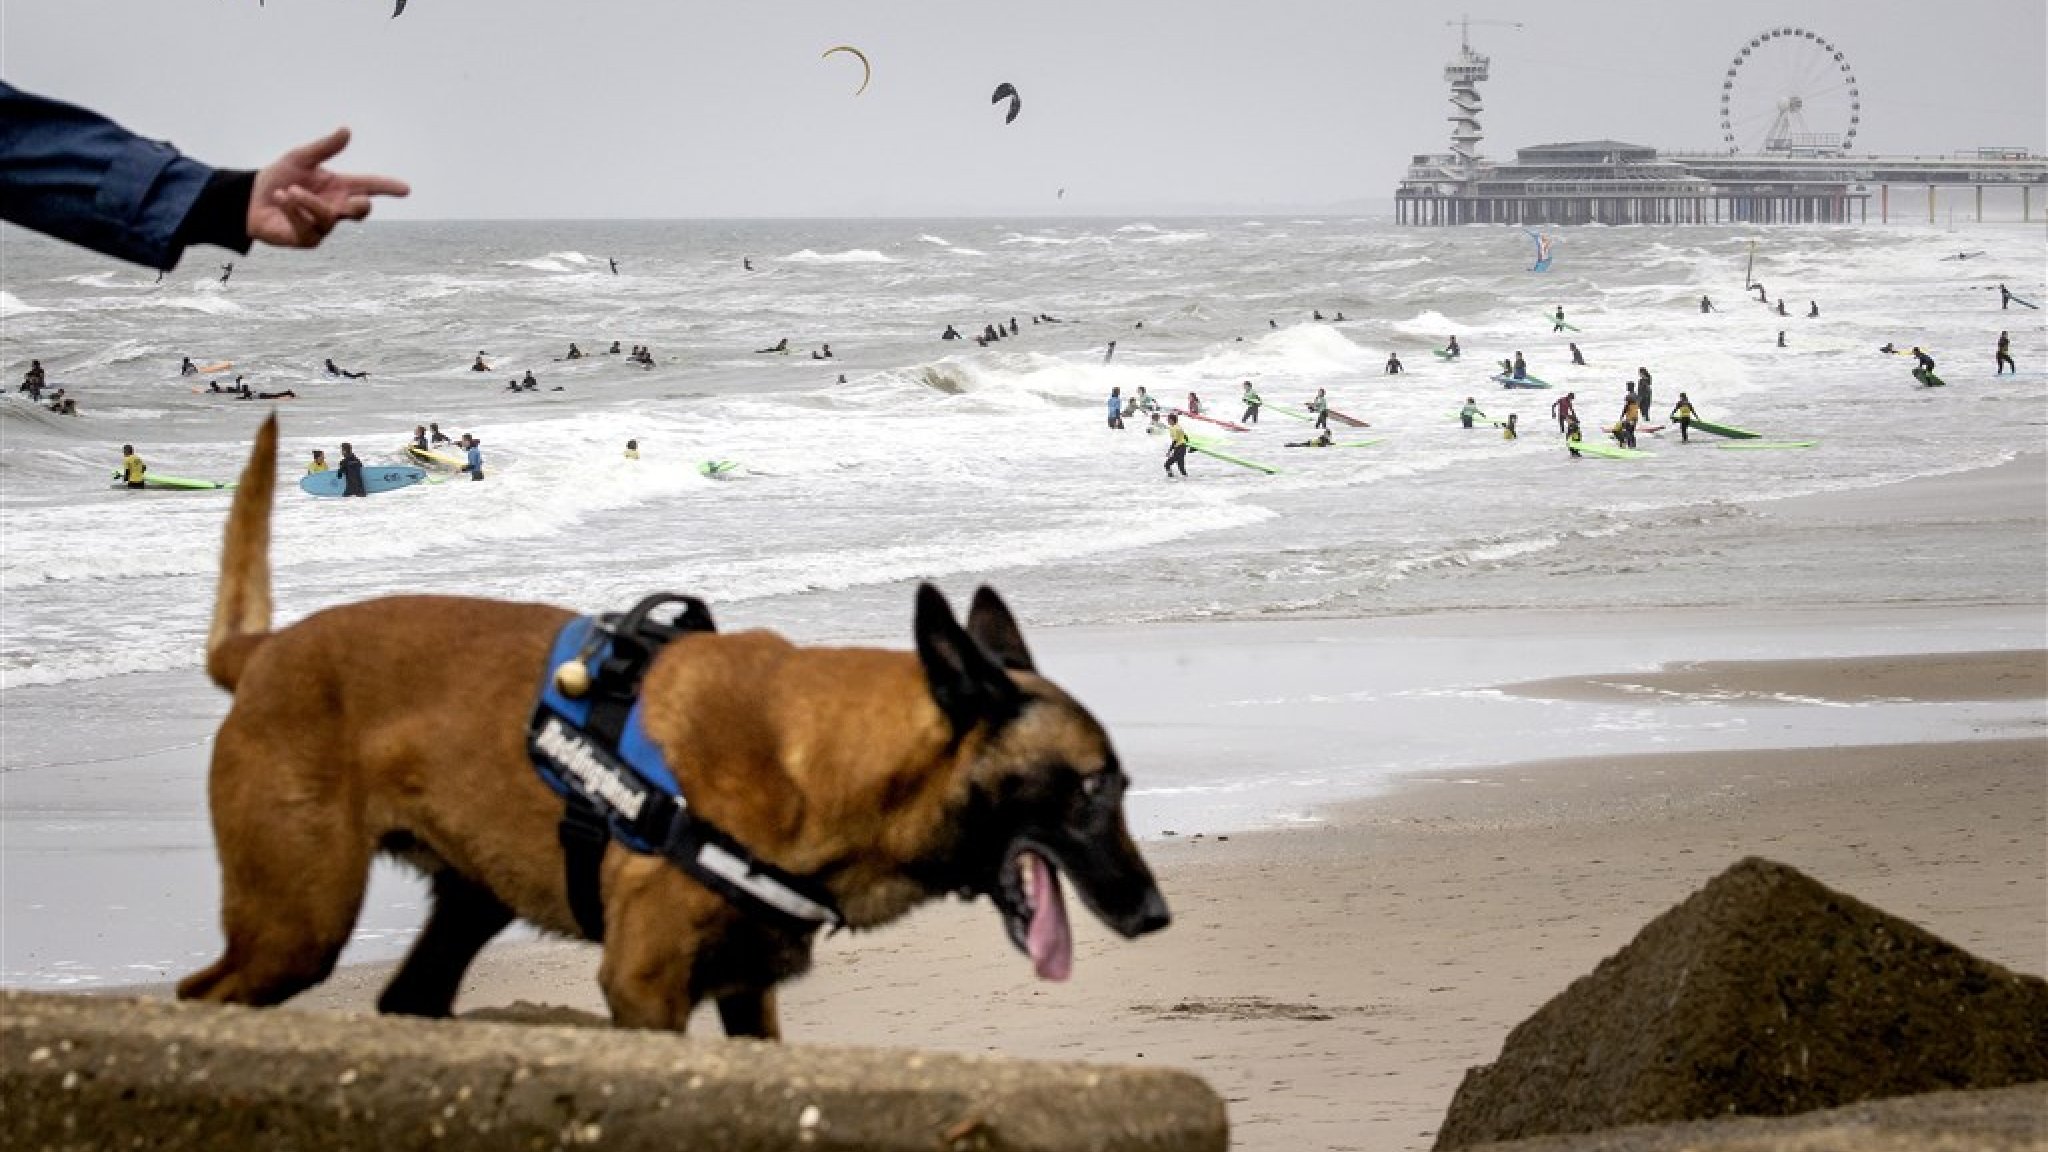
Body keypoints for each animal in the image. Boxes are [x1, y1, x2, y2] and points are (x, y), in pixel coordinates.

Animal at [184, 416, 1179, 1037]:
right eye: (1092, 789)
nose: (1158, 915)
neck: (822, 760)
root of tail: (260, 651)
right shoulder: (644, 986)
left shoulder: (744, 991)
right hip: (297, 924)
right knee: (208, 995)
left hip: (462, 901)